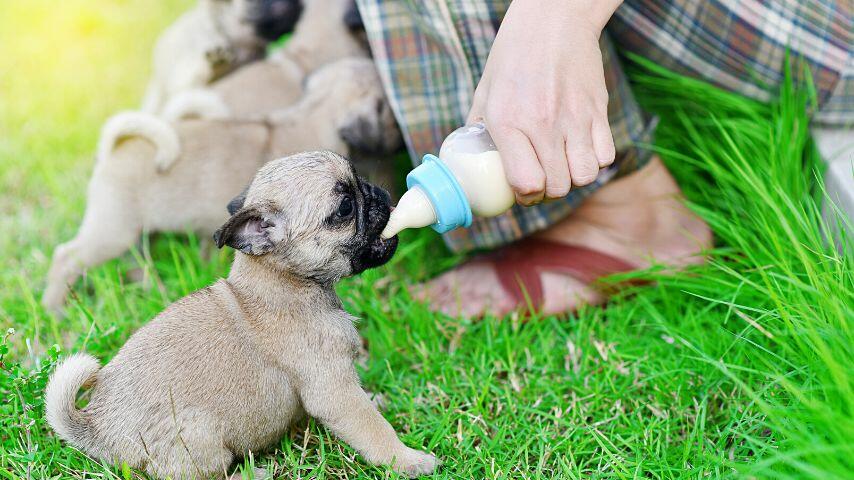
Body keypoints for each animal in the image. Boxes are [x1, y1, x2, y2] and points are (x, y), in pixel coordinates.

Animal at [41, 57, 402, 312]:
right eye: (346, 206)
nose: (379, 194)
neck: (311, 113)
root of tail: (114, 149)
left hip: (136, 230)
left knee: (135, 259)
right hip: (112, 230)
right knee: (66, 258)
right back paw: (55, 308)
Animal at [45, 151, 442, 480]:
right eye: (345, 207)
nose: (377, 193)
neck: (284, 282)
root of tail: (98, 427)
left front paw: (377, 399)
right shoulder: (334, 390)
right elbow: (373, 429)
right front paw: (408, 461)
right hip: (200, 436)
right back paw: (250, 474)